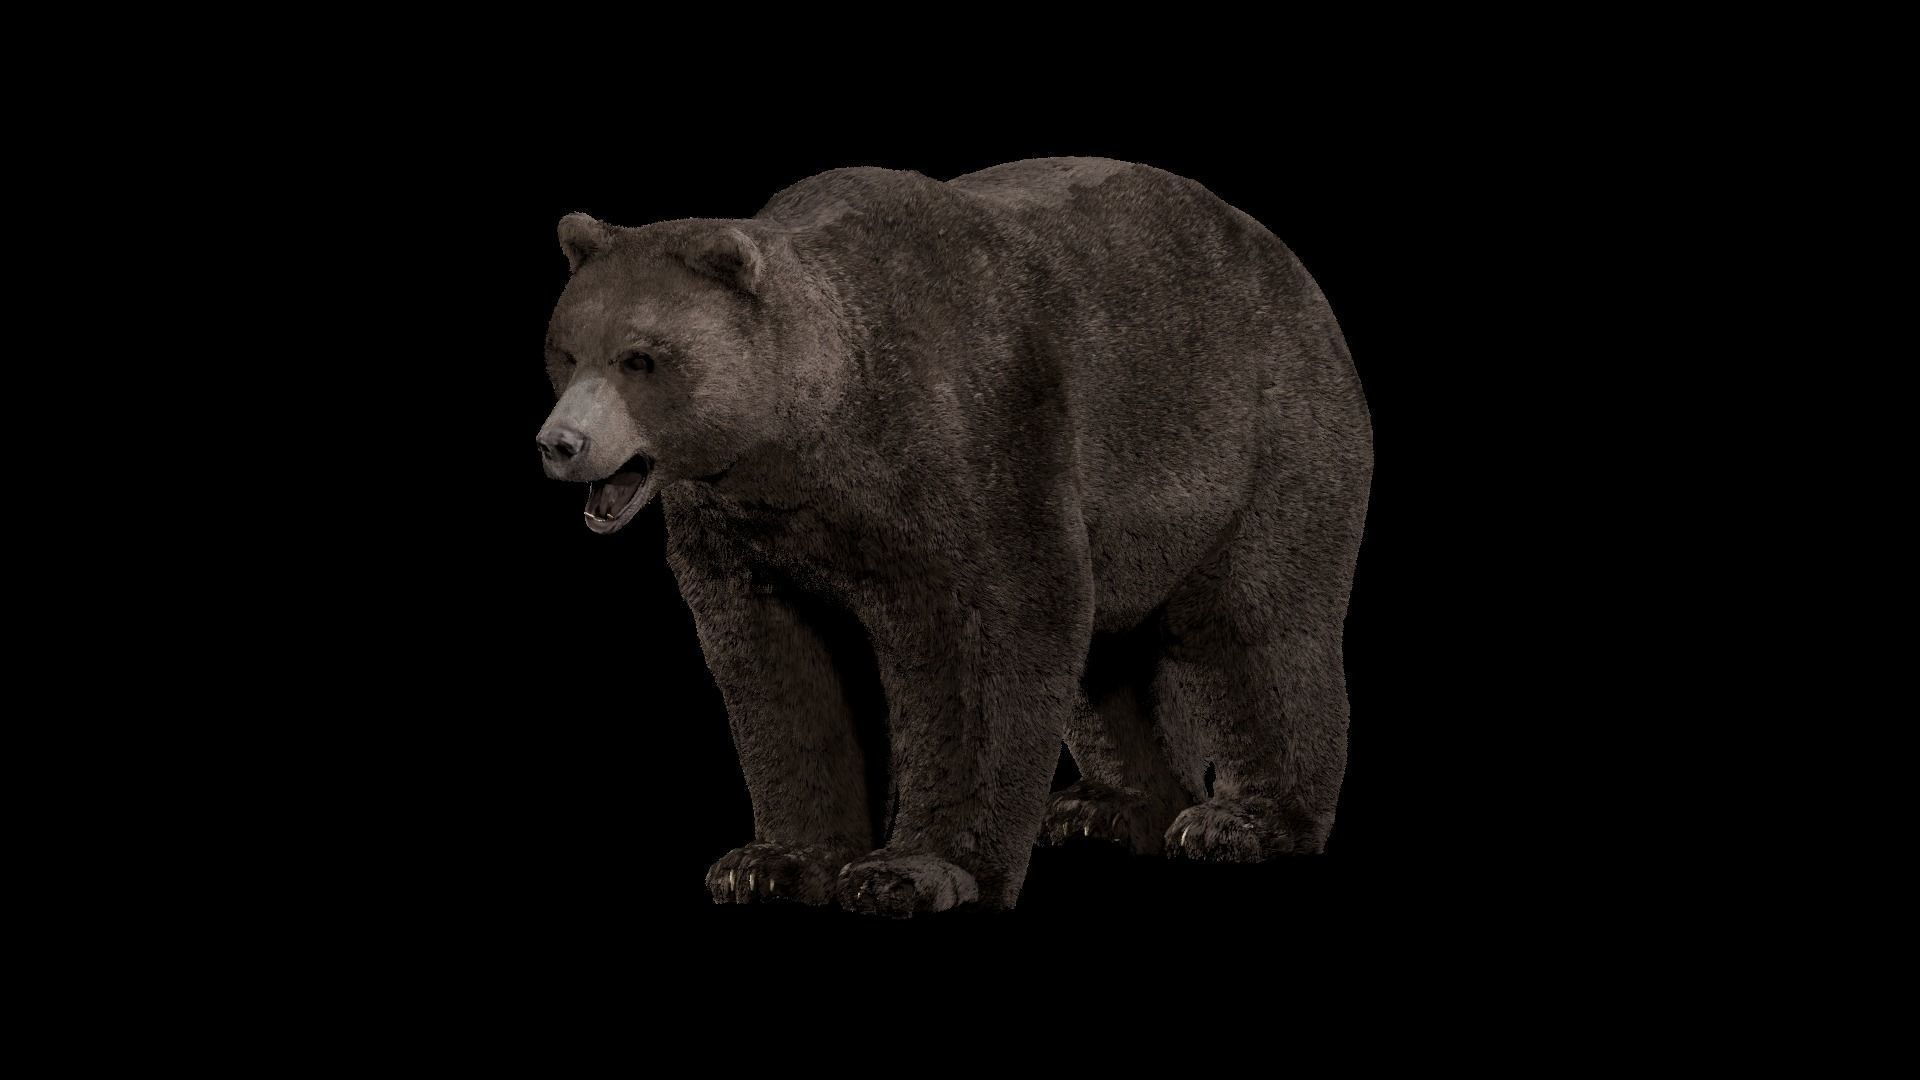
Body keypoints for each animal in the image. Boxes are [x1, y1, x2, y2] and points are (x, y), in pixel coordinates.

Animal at [534, 157, 1372, 916]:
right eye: (566, 350)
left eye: (640, 358)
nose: (560, 443)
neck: (811, 440)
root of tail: (1289, 266)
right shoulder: (743, 536)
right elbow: (779, 670)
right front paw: (768, 863)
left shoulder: (974, 441)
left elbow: (991, 637)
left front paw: (914, 871)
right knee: (1108, 655)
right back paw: (1107, 809)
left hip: (1261, 440)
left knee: (1256, 625)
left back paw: (1240, 821)